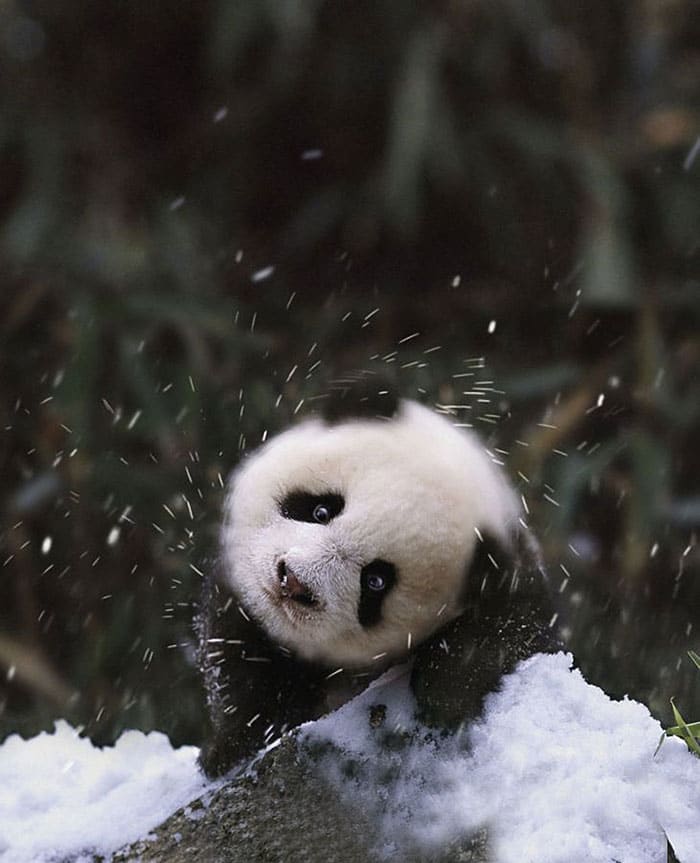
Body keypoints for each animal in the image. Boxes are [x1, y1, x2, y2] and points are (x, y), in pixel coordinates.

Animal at [197, 380, 562, 777]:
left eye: (375, 582)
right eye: (321, 510)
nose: (294, 583)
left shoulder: (511, 578)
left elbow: (511, 630)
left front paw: (445, 689)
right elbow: (241, 660)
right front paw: (232, 747)